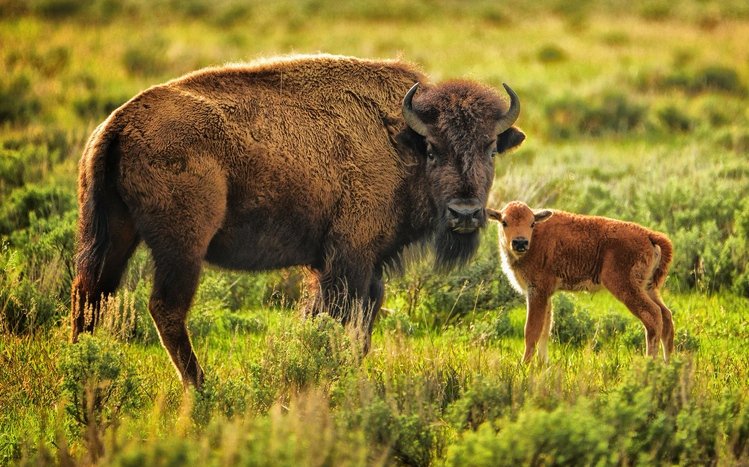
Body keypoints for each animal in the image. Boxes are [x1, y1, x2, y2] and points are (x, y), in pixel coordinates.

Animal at [72, 54, 525, 387]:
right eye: (432, 148)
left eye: (490, 148)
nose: (465, 213)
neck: (398, 139)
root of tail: (118, 123)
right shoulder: (348, 257)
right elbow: (339, 316)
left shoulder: (361, 264)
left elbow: (358, 320)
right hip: (182, 247)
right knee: (165, 308)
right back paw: (201, 386)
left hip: (113, 236)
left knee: (90, 297)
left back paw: (82, 368)